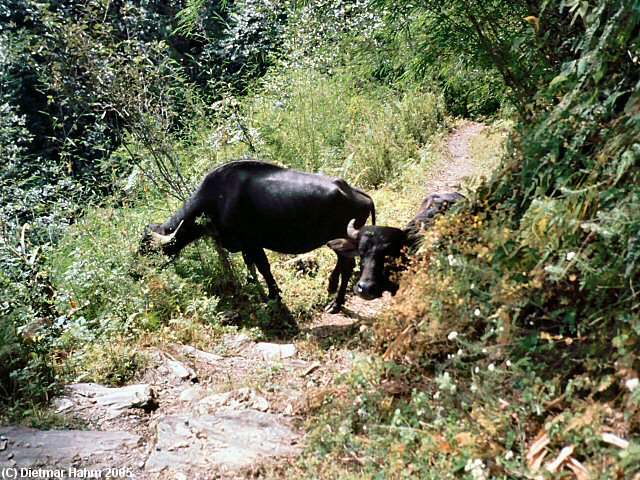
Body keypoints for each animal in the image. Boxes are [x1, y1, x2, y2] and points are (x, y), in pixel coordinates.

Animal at [140, 159, 376, 314]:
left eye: (150, 251)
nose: (136, 273)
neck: (215, 201)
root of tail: (359, 195)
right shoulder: (244, 245)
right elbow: (251, 266)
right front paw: (257, 286)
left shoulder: (253, 242)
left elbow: (263, 267)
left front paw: (274, 295)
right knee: (343, 264)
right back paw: (331, 287)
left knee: (347, 266)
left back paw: (336, 302)